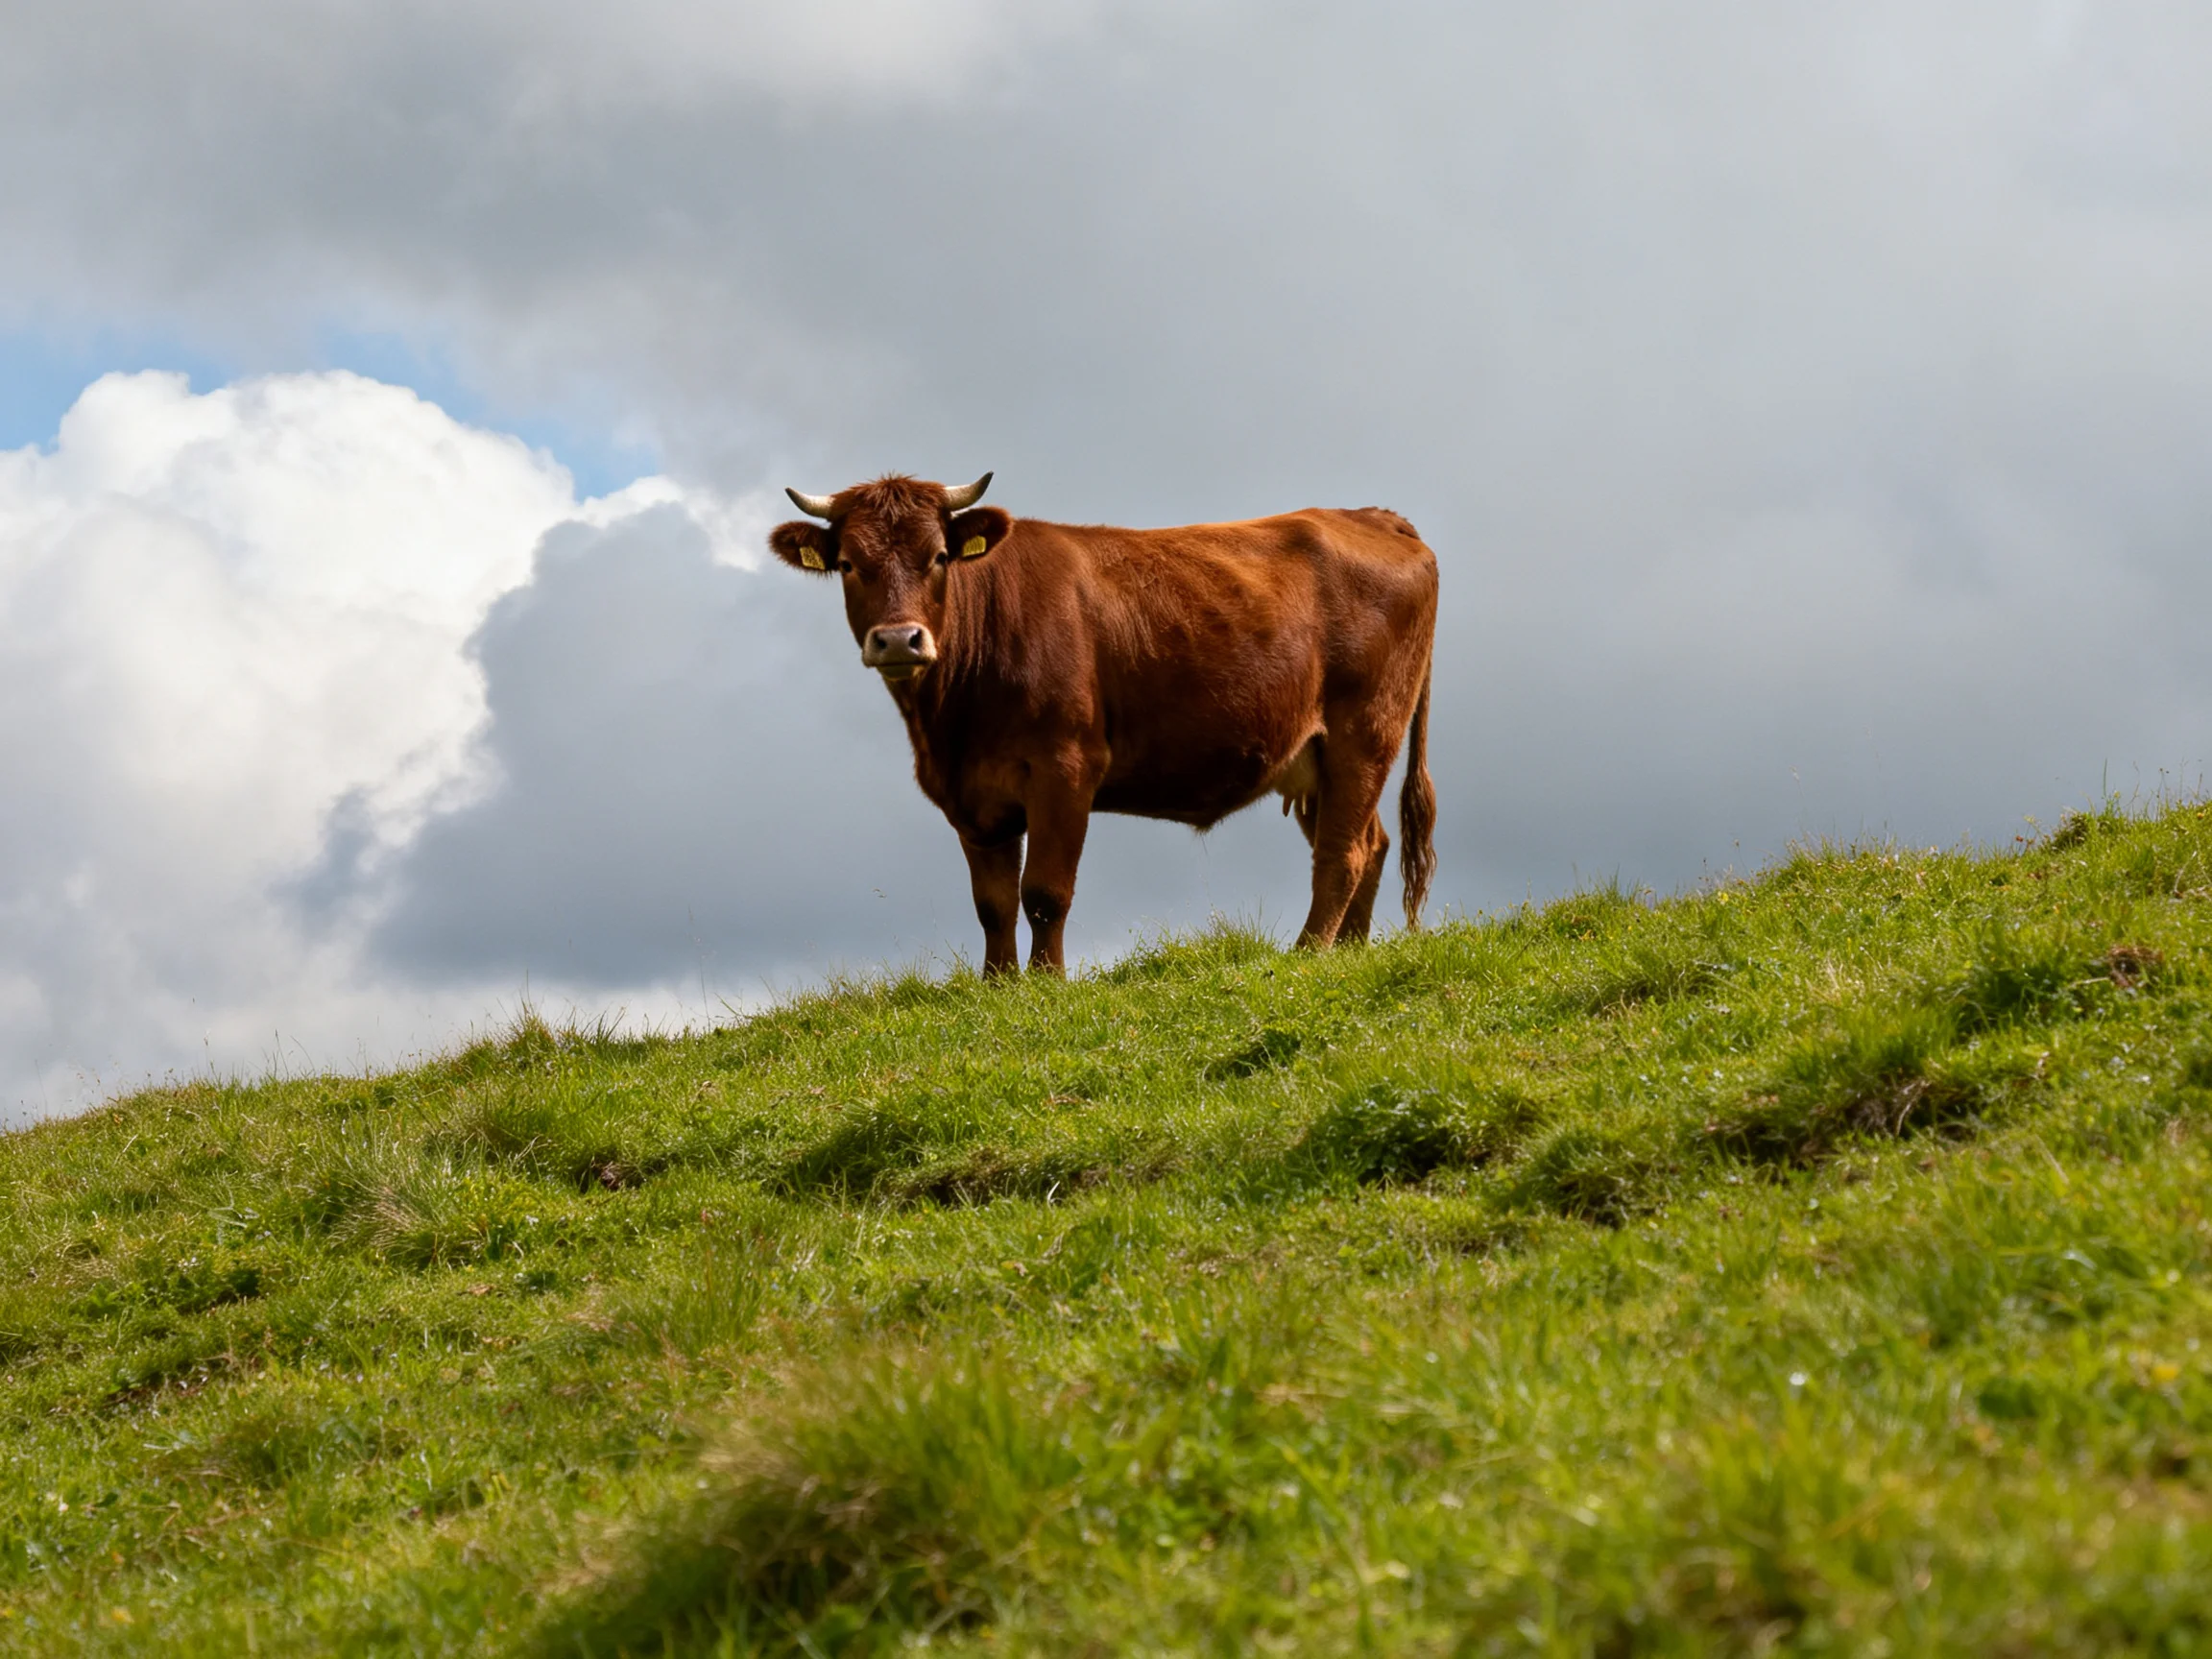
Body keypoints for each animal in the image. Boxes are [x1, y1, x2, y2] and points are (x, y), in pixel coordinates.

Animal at [768, 472, 1438, 976]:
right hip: (1315, 758)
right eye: (848, 564)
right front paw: (996, 986)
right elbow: (992, 903)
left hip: (1365, 731)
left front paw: (1045, 982)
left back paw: (1306, 954)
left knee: (1343, 852)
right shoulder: (970, 796)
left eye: (937, 558)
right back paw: (1347, 954)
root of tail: (1372, 516)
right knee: (1372, 843)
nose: (898, 639)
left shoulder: (1065, 769)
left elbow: (1044, 893)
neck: (949, 727)